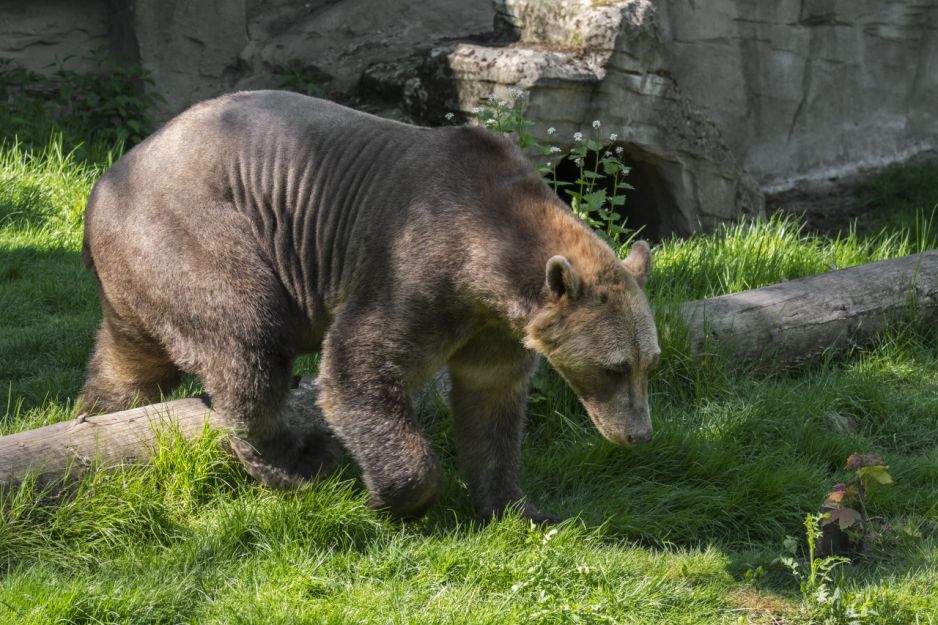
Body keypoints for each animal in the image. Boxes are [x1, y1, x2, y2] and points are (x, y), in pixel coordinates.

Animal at [80, 90, 660, 521]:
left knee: (128, 363)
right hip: (193, 234)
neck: (490, 262)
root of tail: (104, 184)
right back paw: (297, 461)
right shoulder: (416, 266)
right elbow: (359, 368)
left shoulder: (493, 327)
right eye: (615, 367)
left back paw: (94, 414)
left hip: (138, 277)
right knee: (247, 338)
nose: (638, 435)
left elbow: (491, 403)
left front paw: (519, 507)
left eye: (648, 364)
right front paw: (391, 494)